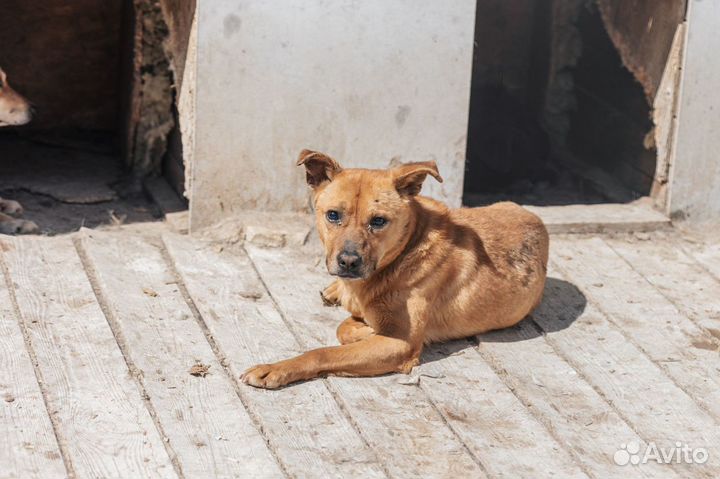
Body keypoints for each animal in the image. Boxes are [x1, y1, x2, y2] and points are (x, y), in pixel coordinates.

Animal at [243, 150, 552, 390]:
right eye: (333, 215)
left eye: (378, 221)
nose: (348, 262)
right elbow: (344, 328)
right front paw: (357, 320)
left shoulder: (400, 344)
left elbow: (325, 351)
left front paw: (276, 368)